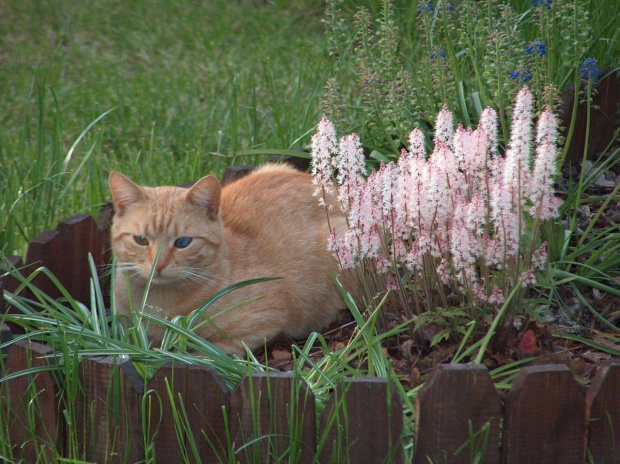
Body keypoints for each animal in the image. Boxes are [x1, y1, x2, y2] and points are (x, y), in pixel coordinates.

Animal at [109, 164, 346, 356]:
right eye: (141, 240)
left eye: (183, 242)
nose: (158, 265)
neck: (157, 305)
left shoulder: (263, 319)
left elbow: (209, 353)